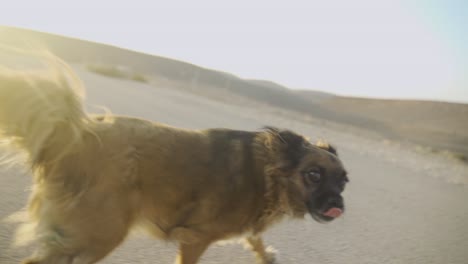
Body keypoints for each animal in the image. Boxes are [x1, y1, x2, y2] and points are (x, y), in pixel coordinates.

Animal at [0, 54, 348, 262]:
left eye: (344, 182)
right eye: (314, 175)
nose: (339, 206)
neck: (268, 176)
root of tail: (77, 134)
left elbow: (257, 240)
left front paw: (266, 255)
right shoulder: (196, 239)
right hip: (99, 235)